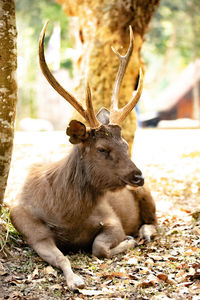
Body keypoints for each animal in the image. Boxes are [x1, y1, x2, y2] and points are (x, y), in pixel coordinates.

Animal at [10, 22, 157, 292]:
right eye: (102, 149)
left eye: (124, 144)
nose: (138, 176)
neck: (66, 216)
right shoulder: (28, 226)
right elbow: (60, 256)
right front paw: (74, 280)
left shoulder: (111, 218)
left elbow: (99, 248)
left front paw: (128, 240)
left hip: (147, 194)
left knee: (154, 220)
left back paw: (145, 233)